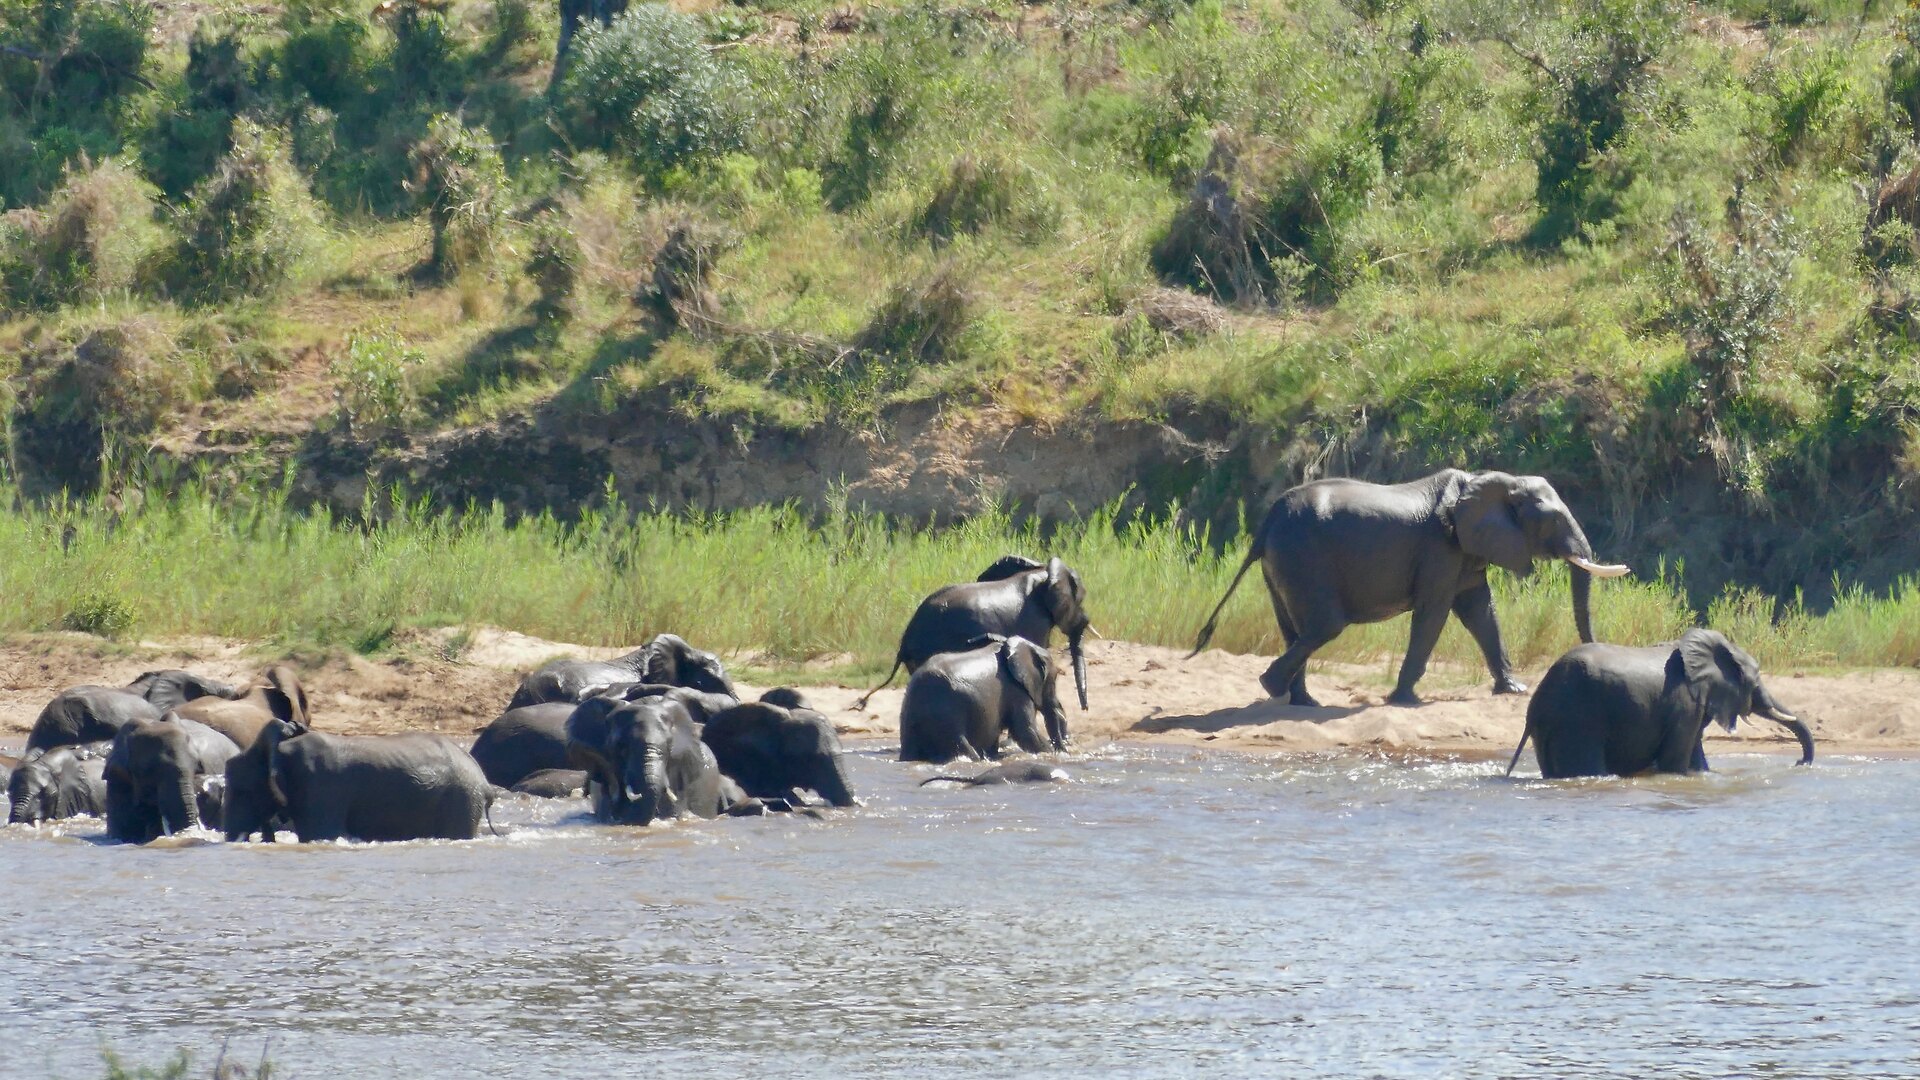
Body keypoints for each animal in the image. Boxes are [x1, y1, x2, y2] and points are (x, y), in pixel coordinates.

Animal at [1190, 469, 1630, 707]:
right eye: (1552, 520)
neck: (1492, 480)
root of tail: (1267, 520)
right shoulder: (1440, 549)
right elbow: (1434, 612)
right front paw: (1404, 700)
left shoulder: (1466, 550)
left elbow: (1480, 612)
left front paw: (1513, 689)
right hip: (1302, 558)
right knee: (1324, 626)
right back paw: (1274, 688)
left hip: (1282, 563)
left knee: (1294, 629)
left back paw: (1302, 702)